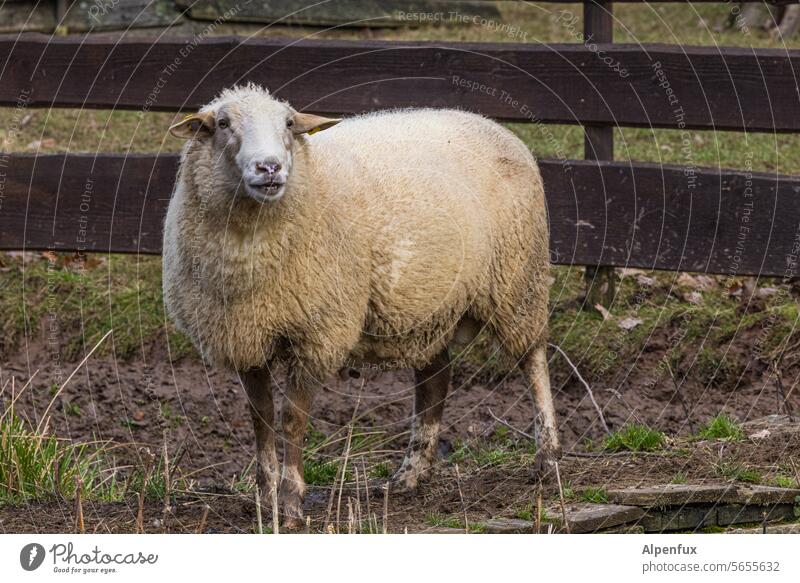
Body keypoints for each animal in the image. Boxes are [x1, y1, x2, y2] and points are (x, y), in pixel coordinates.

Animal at [164, 83, 556, 528]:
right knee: (435, 379)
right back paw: (409, 476)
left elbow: (292, 420)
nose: (269, 168)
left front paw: (292, 502)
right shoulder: (245, 336)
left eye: (288, 123)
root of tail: (493, 126)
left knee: (533, 360)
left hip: (517, 280)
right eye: (223, 123)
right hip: (429, 304)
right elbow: (260, 419)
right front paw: (266, 502)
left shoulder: (318, 334)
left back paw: (547, 457)